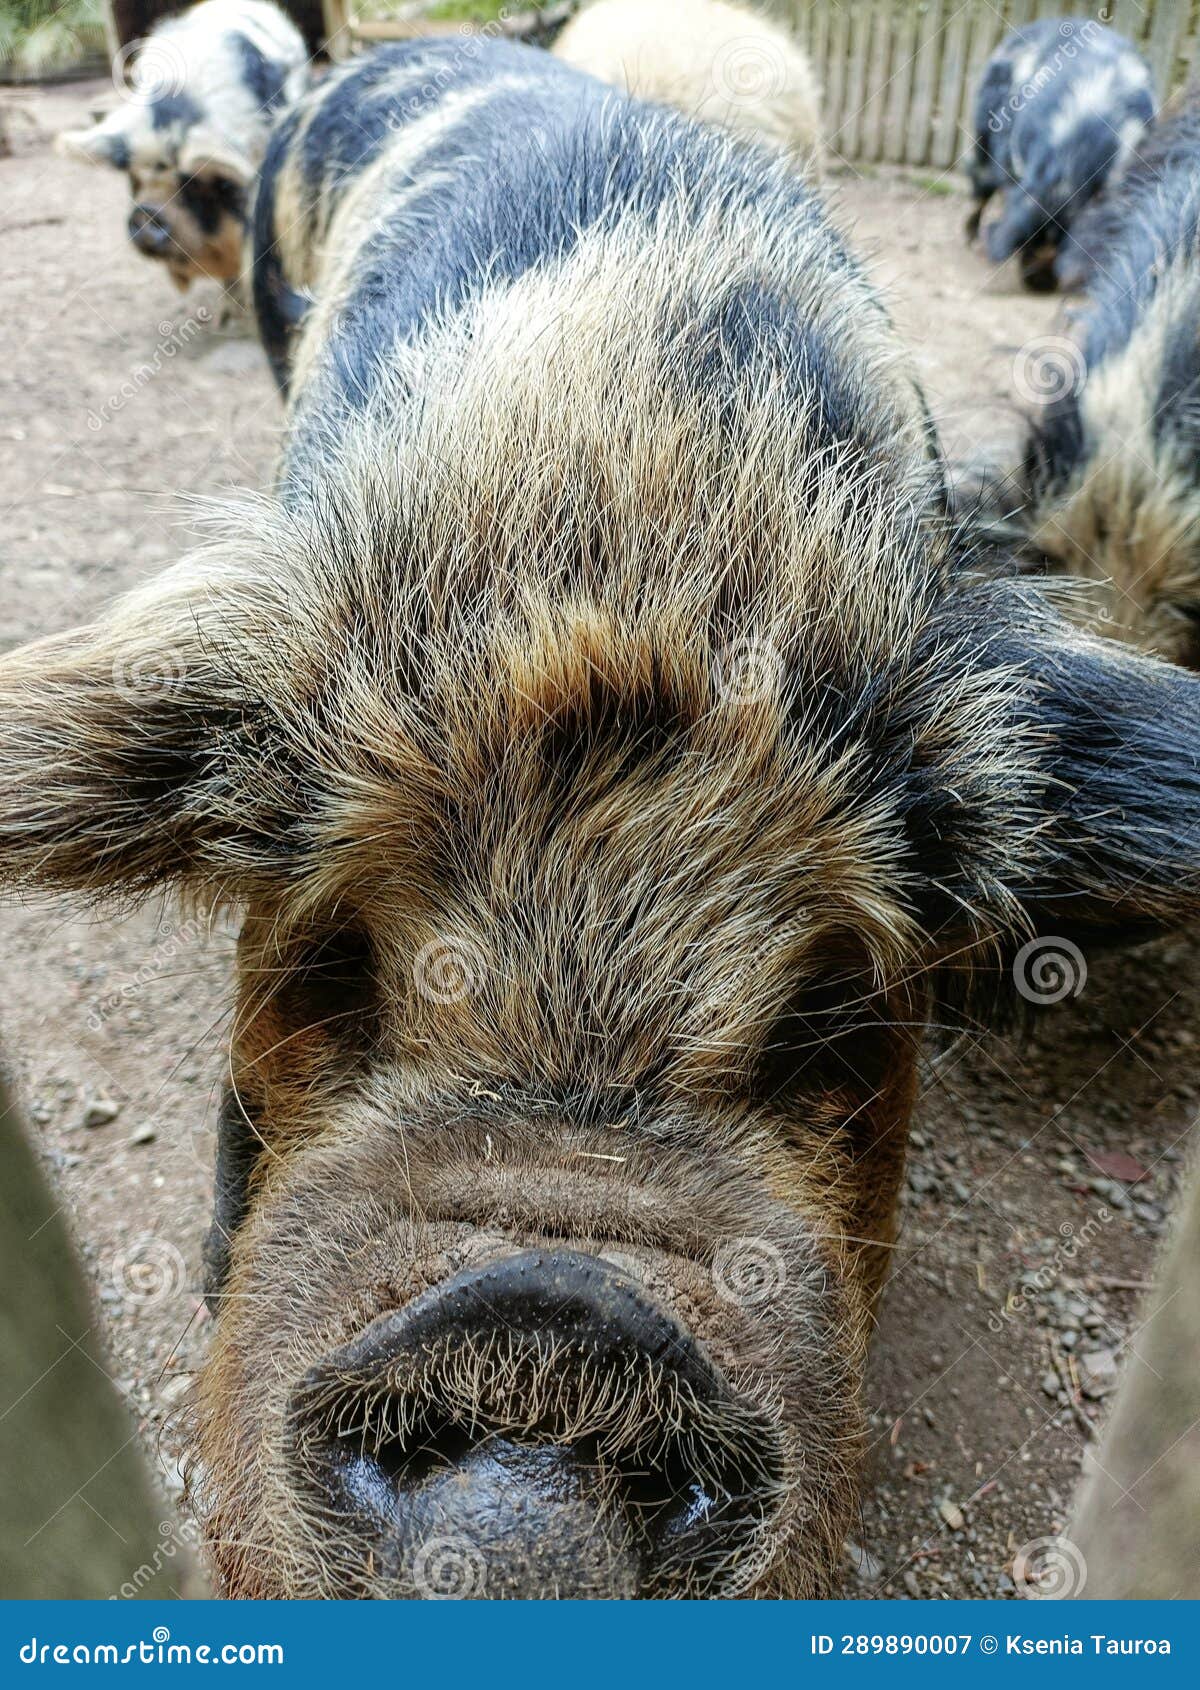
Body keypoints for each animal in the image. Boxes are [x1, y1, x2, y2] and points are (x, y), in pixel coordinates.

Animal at [966, 19, 1156, 290]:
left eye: (1060, 242)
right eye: (1031, 241)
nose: (1041, 285)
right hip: (985, 125)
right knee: (980, 179)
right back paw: (971, 240)